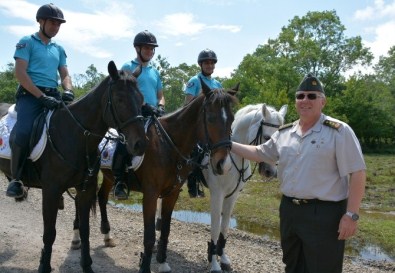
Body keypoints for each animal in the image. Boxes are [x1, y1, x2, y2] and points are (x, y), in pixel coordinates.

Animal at [0, 61, 148, 272]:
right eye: (119, 99)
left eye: (141, 99)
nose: (140, 144)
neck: (75, 134)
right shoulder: (51, 191)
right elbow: (49, 233)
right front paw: (44, 266)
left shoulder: (85, 190)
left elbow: (85, 230)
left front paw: (86, 266)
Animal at [74, 79, 240, 270]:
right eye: (211, 118)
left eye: (232, 119)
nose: (223, 164)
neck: (167, 145)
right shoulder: (151, 194)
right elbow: (149, 236)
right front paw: (145, 265)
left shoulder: (172, 194)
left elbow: (165, 230)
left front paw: (162, 262)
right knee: (80, 202)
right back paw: (76, 238)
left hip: (109, 177)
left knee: (101, 197)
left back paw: (107, 236)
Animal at [156, 103, 290, 270]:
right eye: (266, 138)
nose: (270, 172)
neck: (234, 159)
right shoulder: (217, 195)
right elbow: (215, 227)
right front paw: (213, 262)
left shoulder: (232, 196)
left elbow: (225, 227)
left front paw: (223, 258)